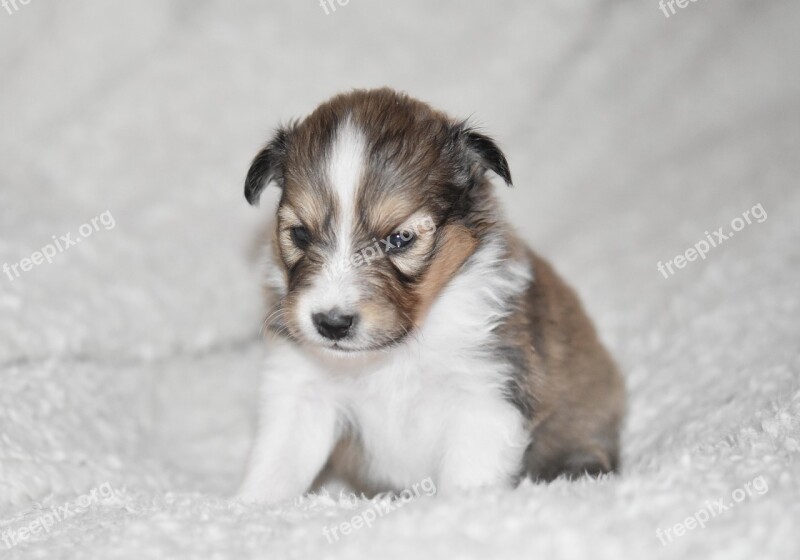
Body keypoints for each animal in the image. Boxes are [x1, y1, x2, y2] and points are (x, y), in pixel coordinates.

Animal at [238, 88, 624, 504]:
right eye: (300, 234)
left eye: (400, 238)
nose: (332, 324)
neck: (393, 355)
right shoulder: (302, 389)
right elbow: (277, 466)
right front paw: (251, 508)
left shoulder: (485, 393)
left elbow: (467, 480)